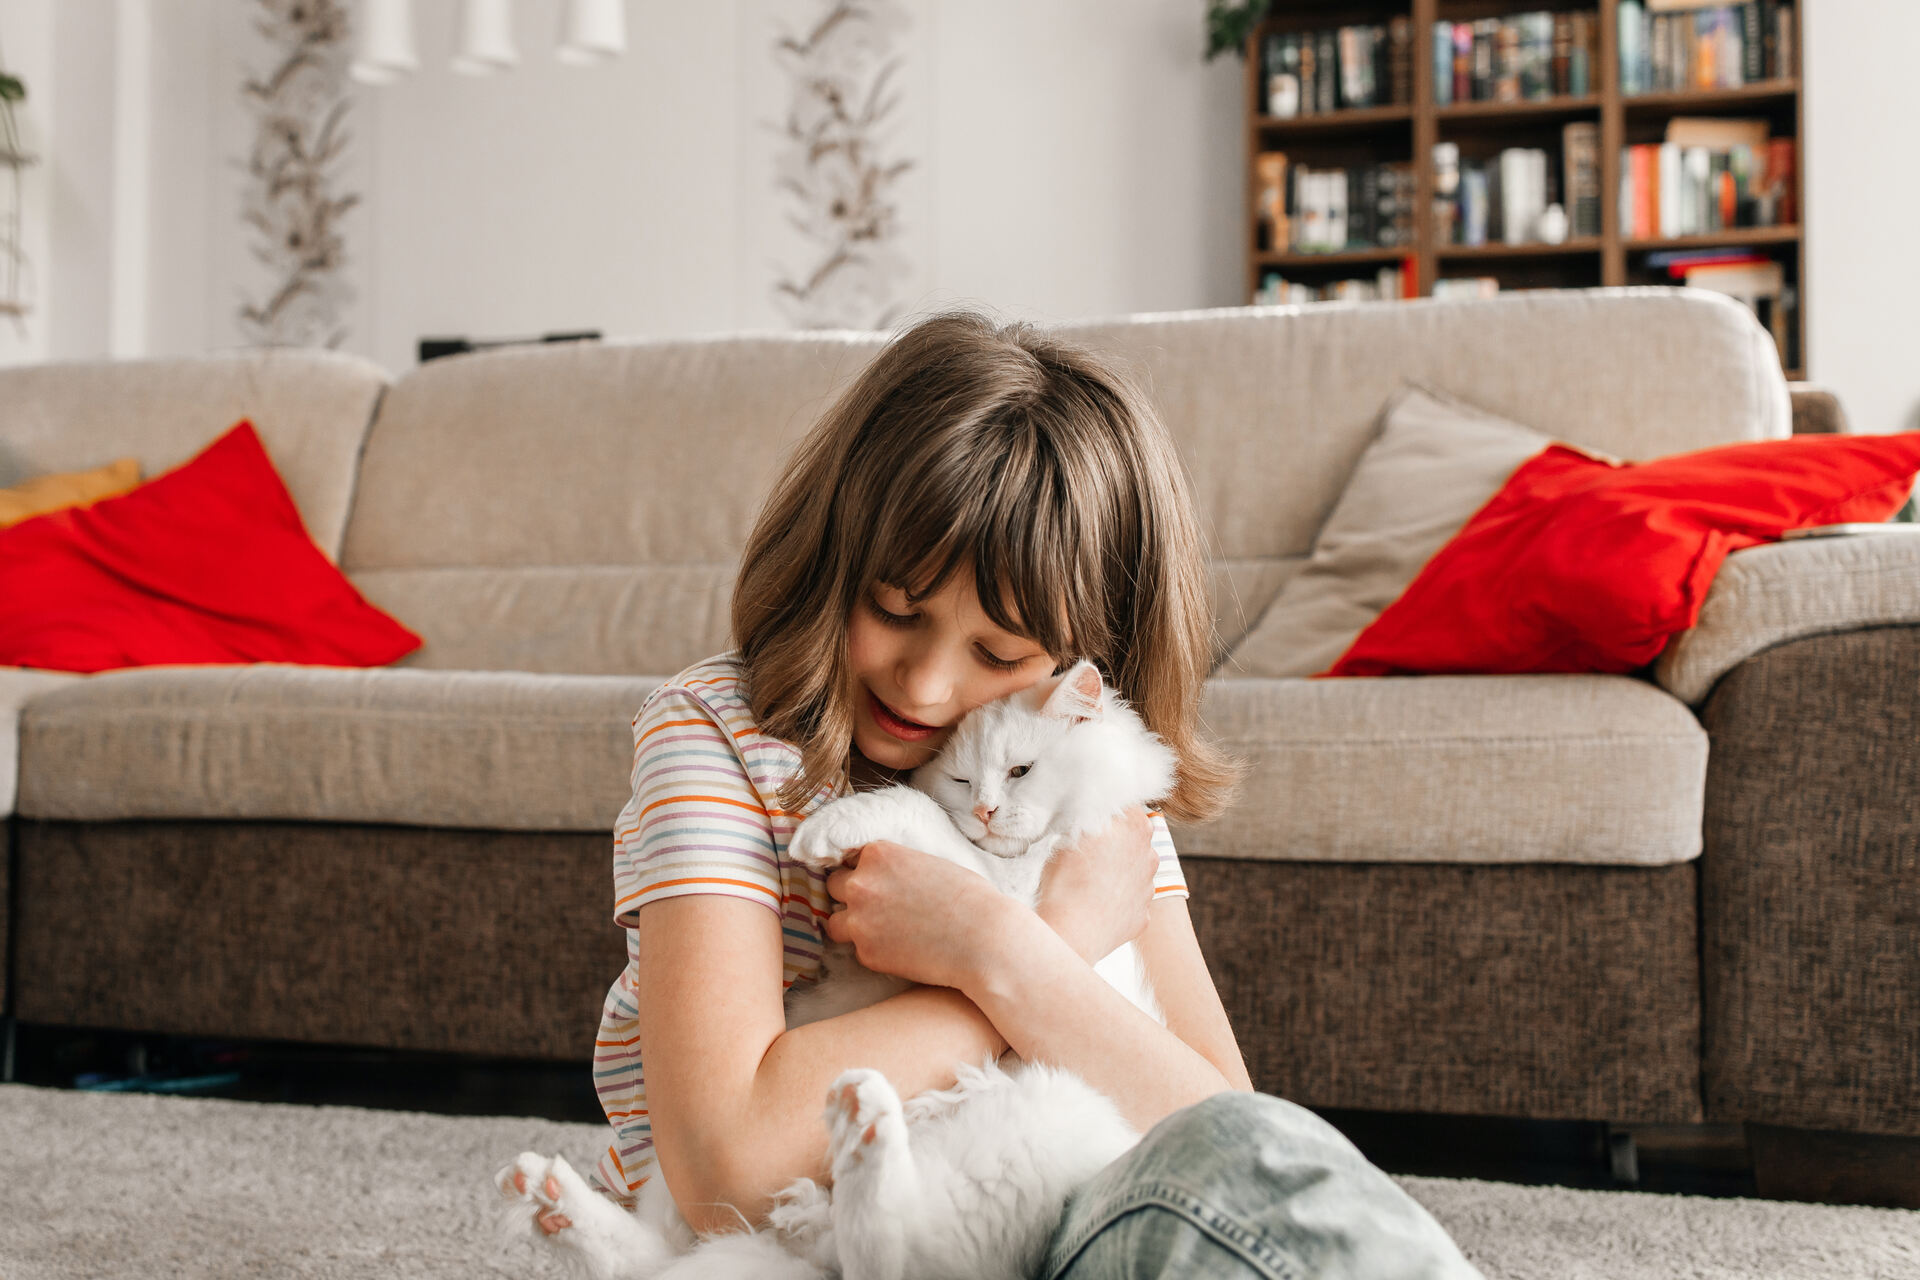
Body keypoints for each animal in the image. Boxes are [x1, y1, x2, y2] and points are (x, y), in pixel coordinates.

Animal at [495, 660, 1175, 1280]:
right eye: (962, 780)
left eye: (1020, 771)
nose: (984, 810)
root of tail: (797, 1249)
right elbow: (919, 807)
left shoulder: (1010, 903)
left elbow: (909, 806)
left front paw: (825, 833)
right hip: (688, 1167)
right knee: (661, 1256)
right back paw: (546, 1196)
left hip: (1027, 1128)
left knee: (891, 1257)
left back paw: (864, 1118)